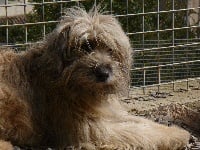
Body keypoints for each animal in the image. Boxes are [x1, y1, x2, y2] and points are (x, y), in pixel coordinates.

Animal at [0, 6, 189, 149]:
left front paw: (171, 129)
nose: (104, 73)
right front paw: (178, 135)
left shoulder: (109, 113)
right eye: (86, 46)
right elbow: (136, 132)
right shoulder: (92, 132)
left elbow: (140, 121)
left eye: (111, 50)